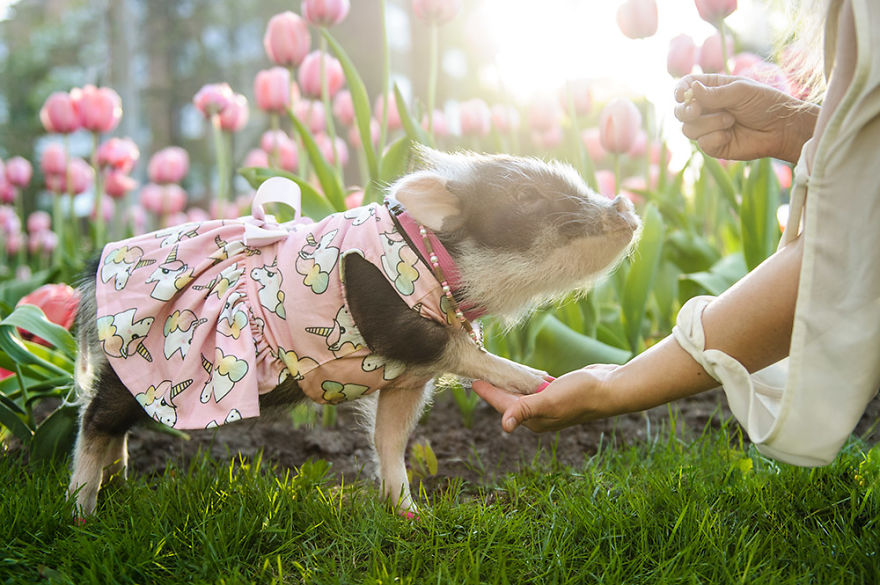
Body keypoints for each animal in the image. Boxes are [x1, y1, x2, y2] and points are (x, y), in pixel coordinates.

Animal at [68, 147, 640, 517]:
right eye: (525, 195)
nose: (625, 206)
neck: (433, 263)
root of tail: (94, 271)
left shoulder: (405, 380)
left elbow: (390, 440)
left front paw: (410, 516)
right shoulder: (396, 327)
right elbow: (456, 349)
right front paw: (540, 380)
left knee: (111, 426)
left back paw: (118, 483)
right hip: (139, 370)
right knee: (93, 418)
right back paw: (83, 510)